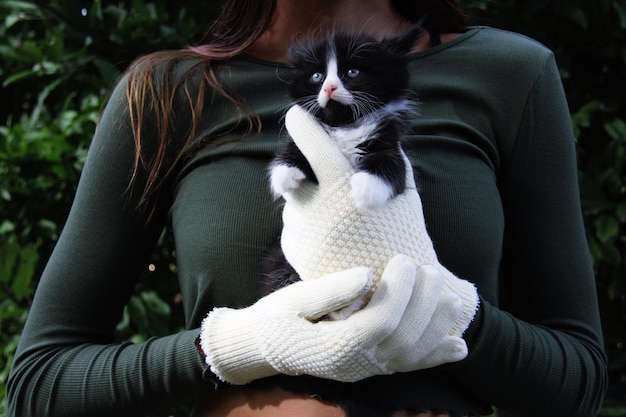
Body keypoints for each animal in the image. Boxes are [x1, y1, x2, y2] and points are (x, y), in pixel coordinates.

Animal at [268, 24, 420, 210]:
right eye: (317, 76)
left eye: (352, 72)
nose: (329, 88)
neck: (344, 125)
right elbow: (296, 147)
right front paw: (285, 171)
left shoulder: (388, 138)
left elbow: (391, 160)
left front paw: (367, 187)